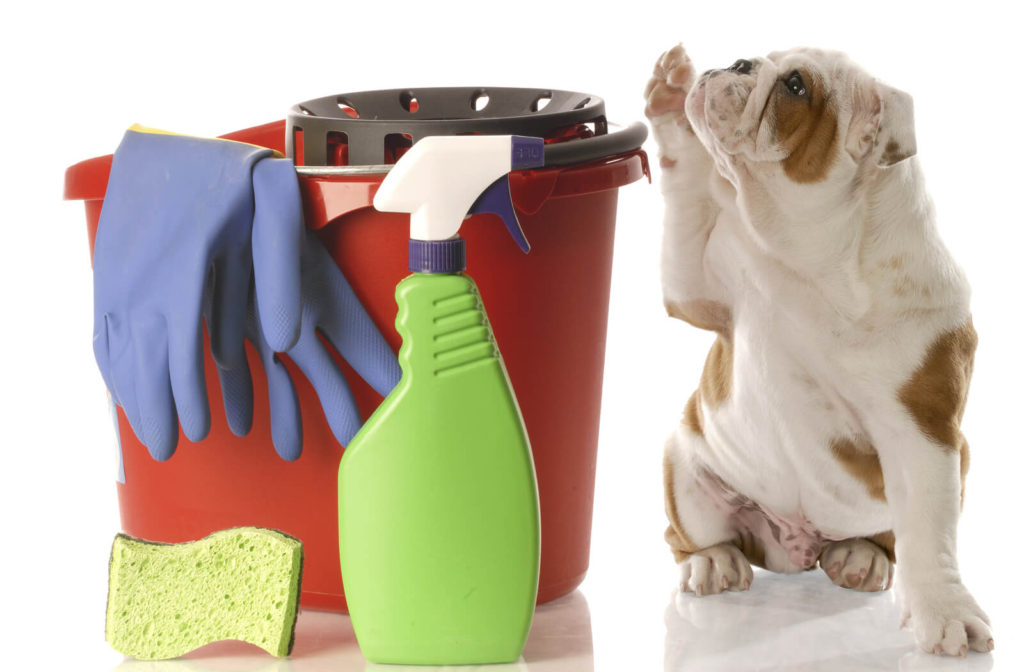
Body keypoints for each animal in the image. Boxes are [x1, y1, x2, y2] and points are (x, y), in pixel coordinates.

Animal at [647, 43, 991, 655]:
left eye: (796, 86)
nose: (739, 62)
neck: (814, 257)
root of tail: (798, 548)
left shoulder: (922, 433)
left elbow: (929, 535)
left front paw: (946, 613)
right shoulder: (700, 286)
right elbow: (685, 193)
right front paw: (668, 97)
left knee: (891, 540)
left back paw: (861, 557)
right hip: (681, 465)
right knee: (686, 535)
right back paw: (713, 563)